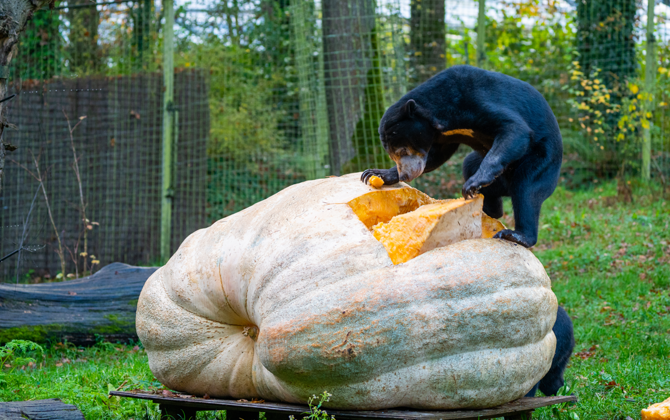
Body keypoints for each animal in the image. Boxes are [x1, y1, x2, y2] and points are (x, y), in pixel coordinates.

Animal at [361, 64, 563, 248]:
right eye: (393, 156)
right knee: (470, 165)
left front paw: (472, 184)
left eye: (402, 150)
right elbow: (436, 156)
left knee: (526, 189)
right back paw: (490, 210)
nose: (405, 175)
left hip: (542, 160)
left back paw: (515, 235)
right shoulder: (442, 135)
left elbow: (515, 129)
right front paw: (376, 174)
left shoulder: (478, 99)